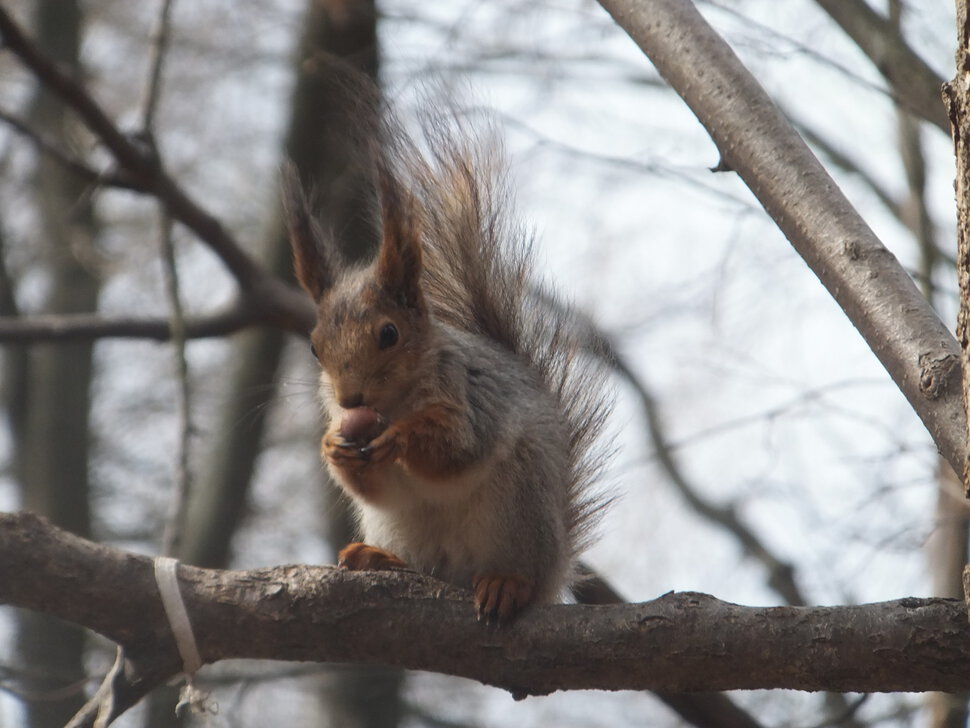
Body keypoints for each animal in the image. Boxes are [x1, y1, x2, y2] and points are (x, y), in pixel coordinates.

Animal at [284, 115, 608, 624]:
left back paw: (506, 583)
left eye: (390, 334)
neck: (395, 402)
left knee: (517, 573)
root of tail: (556, 568)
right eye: (315, 348)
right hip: (401, 527)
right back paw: (379, 559)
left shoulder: (469, 398)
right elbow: (375, 486)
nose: (350, 399)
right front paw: (332, 445)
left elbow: (457, 446)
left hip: (517, 505)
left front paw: (401, 438)